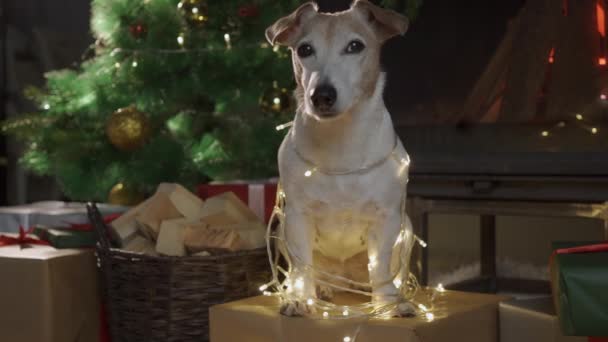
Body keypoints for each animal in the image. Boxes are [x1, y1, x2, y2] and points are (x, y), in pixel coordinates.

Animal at [264, 0, 414, 318]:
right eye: (304, 49)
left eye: (355, 46)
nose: (321, 95)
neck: (341, 145)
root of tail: (345, 280)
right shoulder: (297, 217)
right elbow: (303, 266)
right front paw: (300, 298)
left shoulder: (387, 218)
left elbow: (380, 265)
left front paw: (389, 302)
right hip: (282, 230)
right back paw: (320, 288)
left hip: (406, 228)